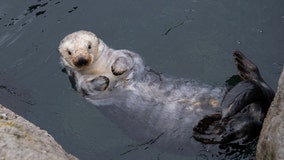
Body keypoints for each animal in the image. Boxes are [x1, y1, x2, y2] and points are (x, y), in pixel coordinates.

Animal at [58, 30, 276, 156]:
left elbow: (129, 59)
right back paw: (207, 129)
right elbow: (89, 88)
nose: (81, 59)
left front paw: (117, 69)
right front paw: (103, 81)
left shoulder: (127, 54)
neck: (98, 68)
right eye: (70, 52)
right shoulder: (79, 84)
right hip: (240, 124)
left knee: (262, 94)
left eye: (88, 46)